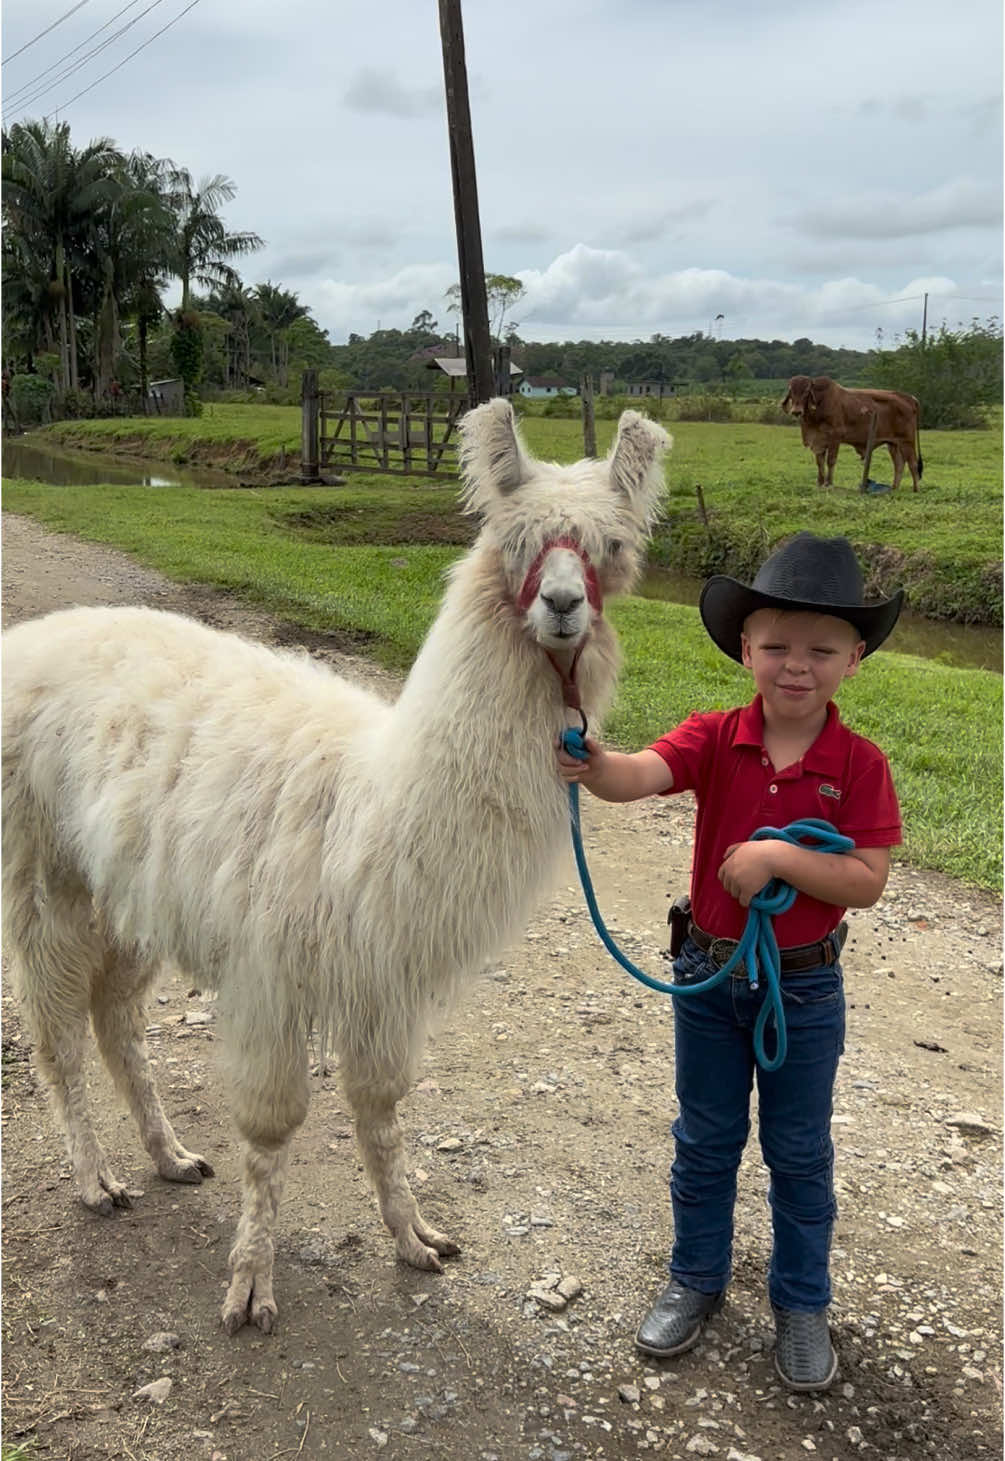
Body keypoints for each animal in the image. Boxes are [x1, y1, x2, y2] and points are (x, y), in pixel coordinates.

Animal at [782, 374, 923, 493]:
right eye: (791, 391)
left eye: (806, 391)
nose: (796, 411)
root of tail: (910, 398)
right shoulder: (818, 441)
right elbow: (820, 462)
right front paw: (820, 483)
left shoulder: (835, 438)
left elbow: (830, 461)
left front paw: (829, 484)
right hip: (893, 444)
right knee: (899, 465)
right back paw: (894, 488)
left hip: (907, 441)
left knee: (913, 464)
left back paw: (915, 490)